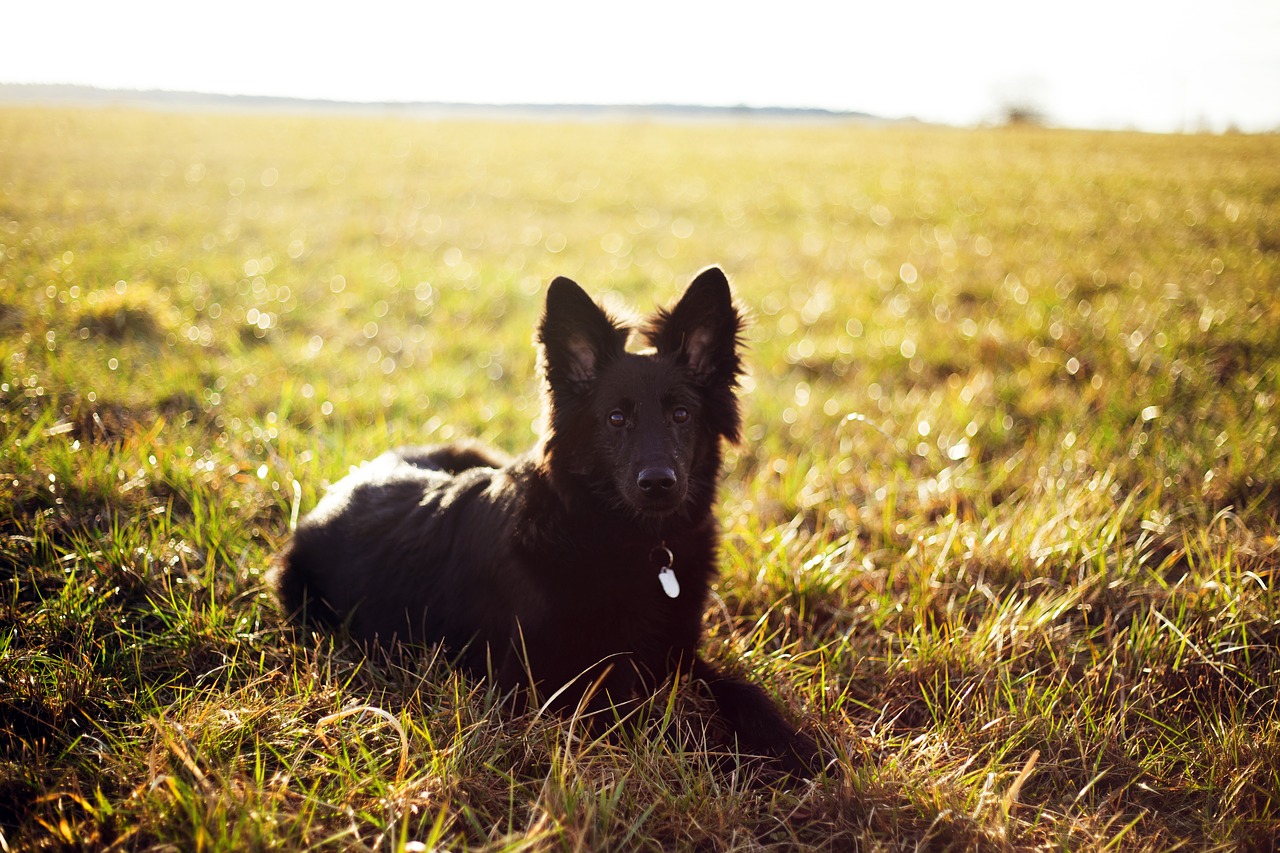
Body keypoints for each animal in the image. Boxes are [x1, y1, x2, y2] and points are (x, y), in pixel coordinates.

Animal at [273, 266, 819, 768]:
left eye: (681, 414)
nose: (659, 483)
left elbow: (739, 690)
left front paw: (795, 747)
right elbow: (666, 720)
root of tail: (343, 485)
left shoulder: (675, 655)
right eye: (615, 418)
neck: (623, 540)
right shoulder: (545, 687)